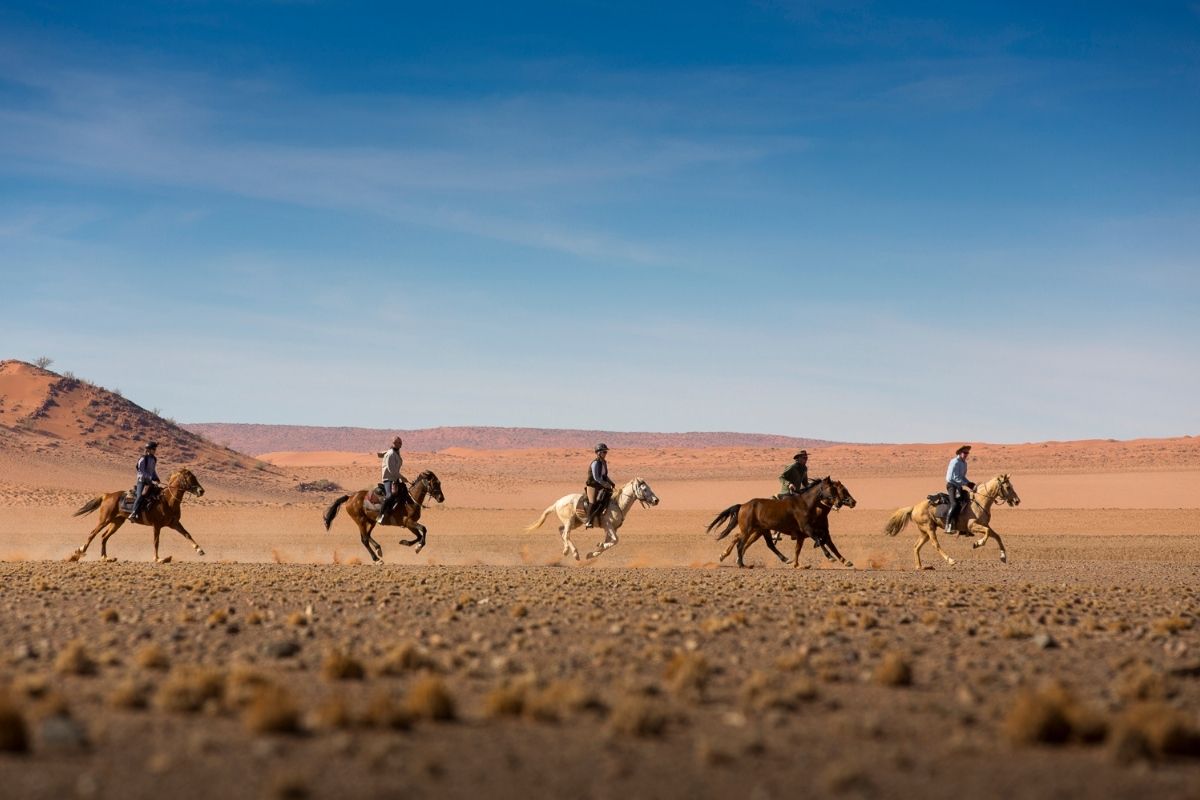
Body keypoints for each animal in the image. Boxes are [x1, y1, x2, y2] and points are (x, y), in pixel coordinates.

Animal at [68, 468, 207, 563]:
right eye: (190, 478)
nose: (201, 491)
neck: (167, 500)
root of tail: (107, 495)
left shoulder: (174, 523)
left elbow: (187, 534)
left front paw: (199, 550)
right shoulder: (157, 525)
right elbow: (156, 541)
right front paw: (158, 559)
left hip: (117, 522)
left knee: (104, 537)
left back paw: (105, 557)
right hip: (105, 520)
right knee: (93, 533)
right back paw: (79, 552)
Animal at [525, 478, 660, 560]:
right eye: (645, 489)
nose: (656, 500)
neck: (617, 504)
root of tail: (557, 502)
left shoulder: (611, 529)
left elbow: (610, 543)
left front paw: (592, 553)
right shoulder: (608, 526)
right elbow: (615, 540)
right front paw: (600, 545)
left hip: (576, 522)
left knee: (561, 530)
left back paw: (567, 550)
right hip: (570, 521)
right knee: (565, 534)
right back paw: (573, 553)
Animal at [707, 477, 854, 568]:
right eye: (834, 489)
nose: (851, 502)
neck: (808, 505)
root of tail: (743, 505)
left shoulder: (813, 533)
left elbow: (826, 545)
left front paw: (845, 561)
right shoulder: (807, 529)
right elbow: (819, 541)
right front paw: (830, 557)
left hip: (760, 530)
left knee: (764, 544)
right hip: (749, 529)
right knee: (741, 543)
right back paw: (741, 564)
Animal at [883, 473, 1020, 569]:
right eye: (1008, 487)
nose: (1017, 500)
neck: (980, 501)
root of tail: (914, 507)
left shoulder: (984, 525)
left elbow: (997, 536)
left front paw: (1003, 556)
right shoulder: (972, 526)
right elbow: (986, 534)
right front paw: (977, 543)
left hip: (925, 531)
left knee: (916, 546)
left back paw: (920, 567)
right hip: (929, 528)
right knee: (935, 544)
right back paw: (950, 560)